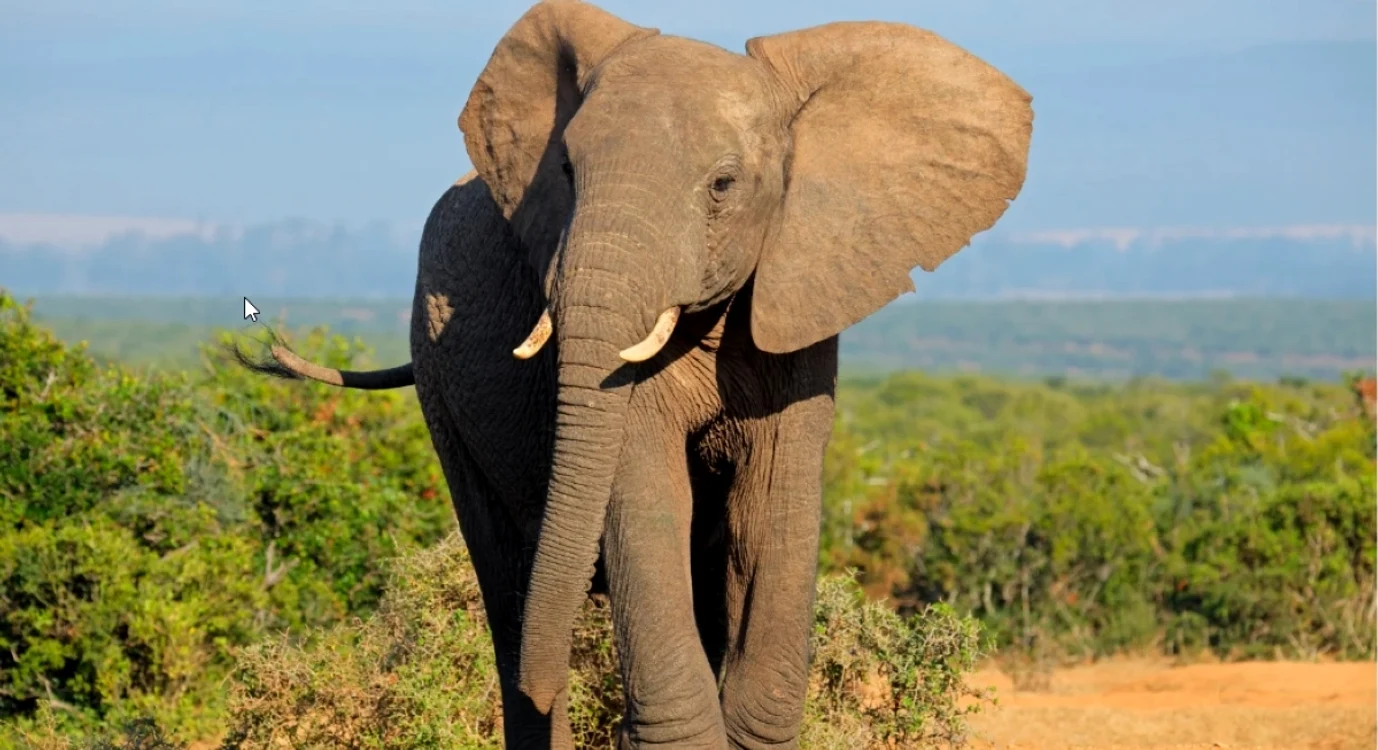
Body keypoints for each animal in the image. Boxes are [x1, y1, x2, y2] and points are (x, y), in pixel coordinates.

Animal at [234, 1, 1032, 747]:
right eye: (565, 171)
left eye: (722, 185)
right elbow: (645, 497)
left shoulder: (801, 298)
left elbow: (770, 510)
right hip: (439, 385)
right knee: (506, 581)